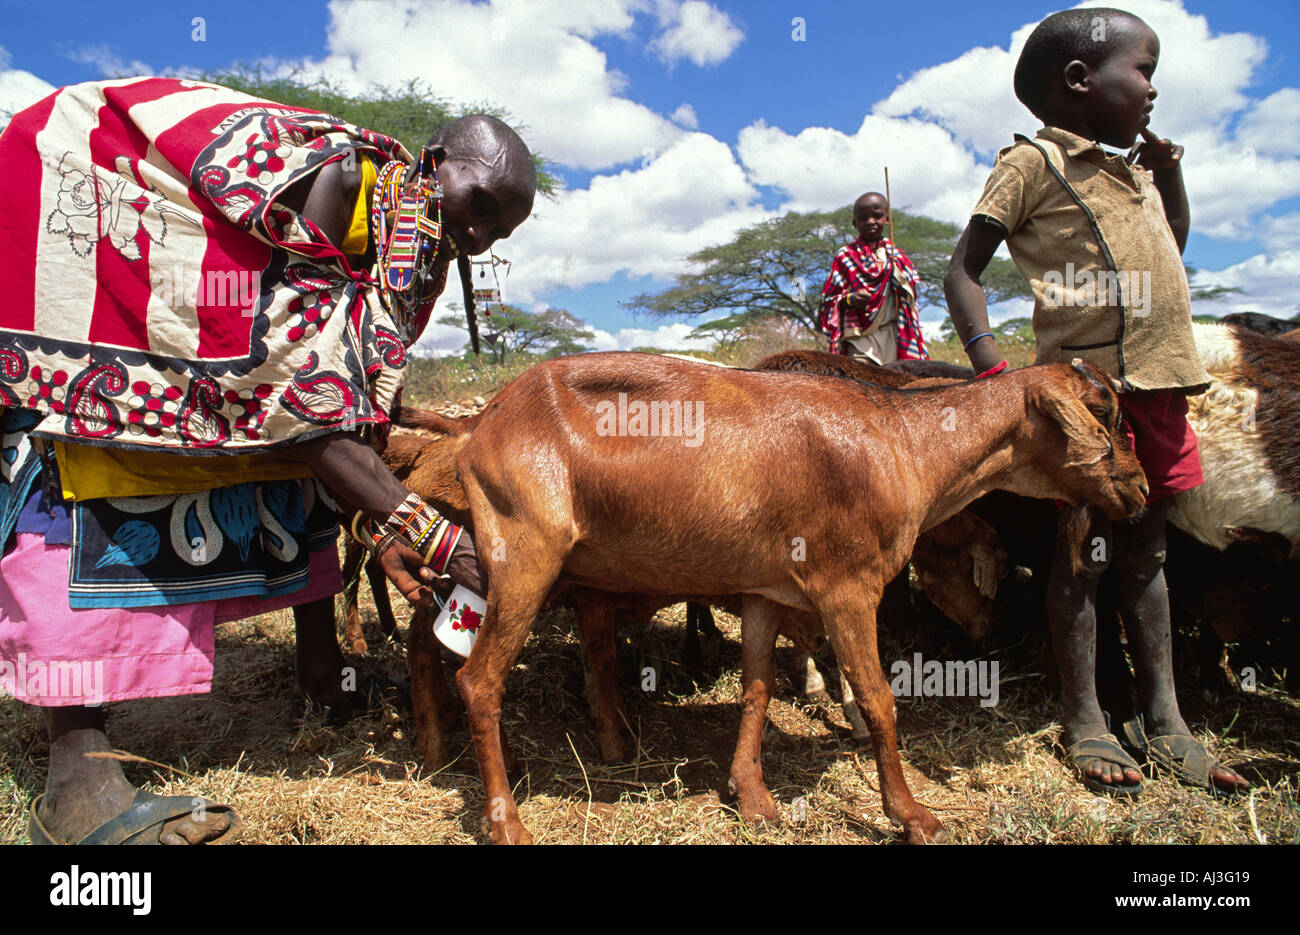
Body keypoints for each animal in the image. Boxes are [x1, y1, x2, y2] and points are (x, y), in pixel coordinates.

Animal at [410, 353, 1144, 847]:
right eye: (1105, 410)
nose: (1138, 489)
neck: (905, 444)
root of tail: (479, 423)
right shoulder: (848, 586)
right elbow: (877, 699)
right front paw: (912, 814)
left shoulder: (767, 589)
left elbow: (757, 687)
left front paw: (754, 797)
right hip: (523, 552)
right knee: (480, 679)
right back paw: (505, 820)